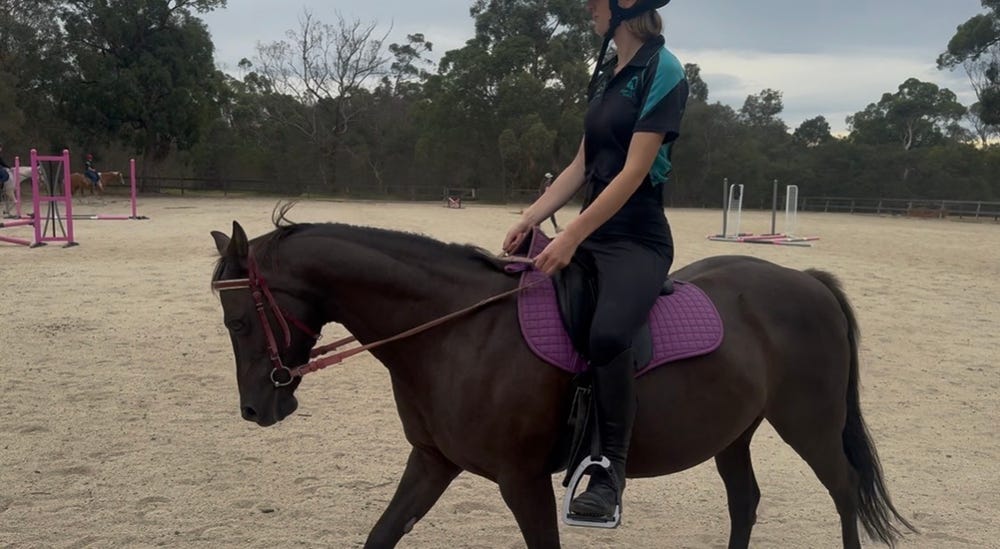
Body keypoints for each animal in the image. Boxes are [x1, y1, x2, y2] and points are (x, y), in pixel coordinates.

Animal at [210, 213, 915, 549]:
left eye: (240, 319)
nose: (256, 409)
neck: (457, 331)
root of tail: (807, 282)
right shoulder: (434, 462)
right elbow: (382, 535)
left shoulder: (521, 481)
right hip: (733, 433)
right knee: (746, 502)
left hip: (810, 425)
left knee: (845, 492)